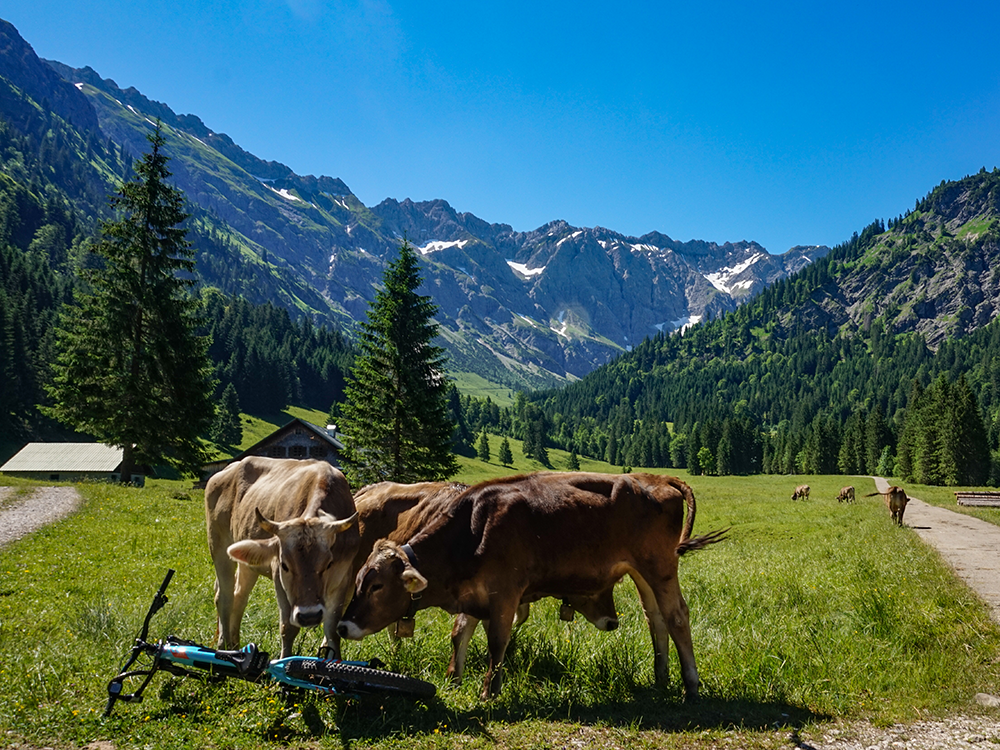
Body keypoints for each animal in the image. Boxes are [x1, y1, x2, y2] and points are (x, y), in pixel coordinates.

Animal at [204, 456, 360, 660]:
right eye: (286, 565)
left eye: (328, 564)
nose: (309, 616)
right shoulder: (279, 576)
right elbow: (288, 628)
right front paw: (284, 663)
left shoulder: (343, 578)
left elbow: (332, 629)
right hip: (218, 544)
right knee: (224, 596)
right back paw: (223, 646)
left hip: (246, 559)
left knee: (240, 596)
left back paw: (234, 645)